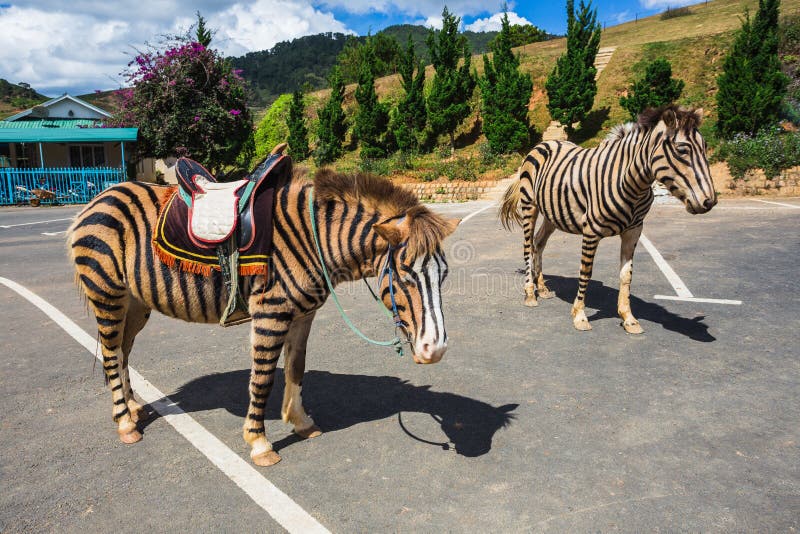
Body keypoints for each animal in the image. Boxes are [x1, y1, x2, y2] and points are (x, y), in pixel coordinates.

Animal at [67, 165, 460, 466]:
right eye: (406, 274)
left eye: (443, 275)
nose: (436, 350)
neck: (313, 239)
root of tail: (99, 198)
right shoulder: (271, 314)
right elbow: (263, 380)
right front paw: (259, 443)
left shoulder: (304, 315)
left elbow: (297, 368)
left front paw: (301, 422)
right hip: (107, 294)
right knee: (110, 356)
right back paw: (125, 424)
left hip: (136, 302)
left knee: (122, 352)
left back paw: (134, 407)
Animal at [500, 105, 716, 333]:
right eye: (682, 150)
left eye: (705, 147)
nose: (709, 201)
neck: (632, 184)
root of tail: (545, 143)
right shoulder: (590, 231)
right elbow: (586, 272)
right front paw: (579, 315)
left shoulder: (634, 231)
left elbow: (626, 275)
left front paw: (629, 318)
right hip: (530, 205)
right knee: (527, 246)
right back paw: (530, 294)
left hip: (553, 214)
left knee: (538, 243)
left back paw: (541, 287)